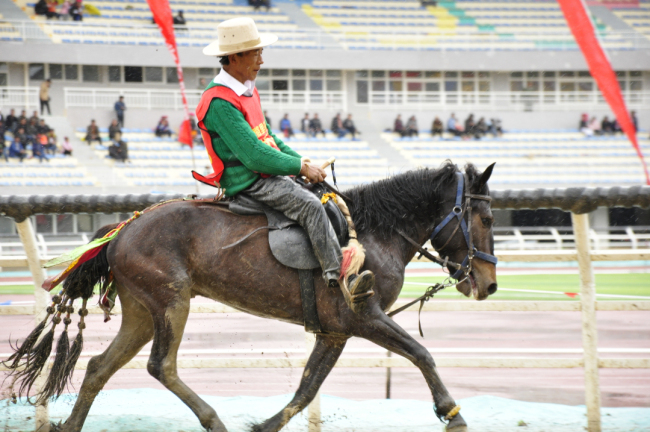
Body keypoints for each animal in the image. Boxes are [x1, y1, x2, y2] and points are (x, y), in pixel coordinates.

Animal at [3, 161, 496, 432]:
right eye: (487, 217)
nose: (489, 282)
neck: (374, 232)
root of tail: (124, 228)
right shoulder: (364, 318)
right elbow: (421, 353)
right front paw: (452, 412)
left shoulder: (335, 333)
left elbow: (306, 388)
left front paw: (266, 425)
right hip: (171, 303)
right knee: (161, 366)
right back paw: (212, 419)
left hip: (142, 312)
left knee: (99, 367)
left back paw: (71, 424)